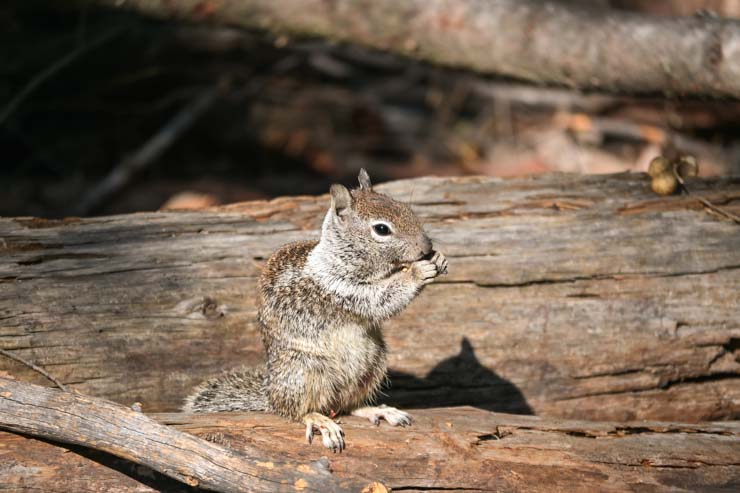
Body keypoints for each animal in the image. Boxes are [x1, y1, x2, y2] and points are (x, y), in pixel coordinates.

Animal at [184, 171, 450, 452]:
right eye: (381, 229)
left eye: (407, 209)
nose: (426, 247)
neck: (339, 257)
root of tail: (271, 396)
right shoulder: (340, 288)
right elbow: (381, 298)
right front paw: (417, 271)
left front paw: (438, 258)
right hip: (305, 371)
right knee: (299, 411)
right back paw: (319, 421)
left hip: (372, 364)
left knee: (347, 405)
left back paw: (376, 410)